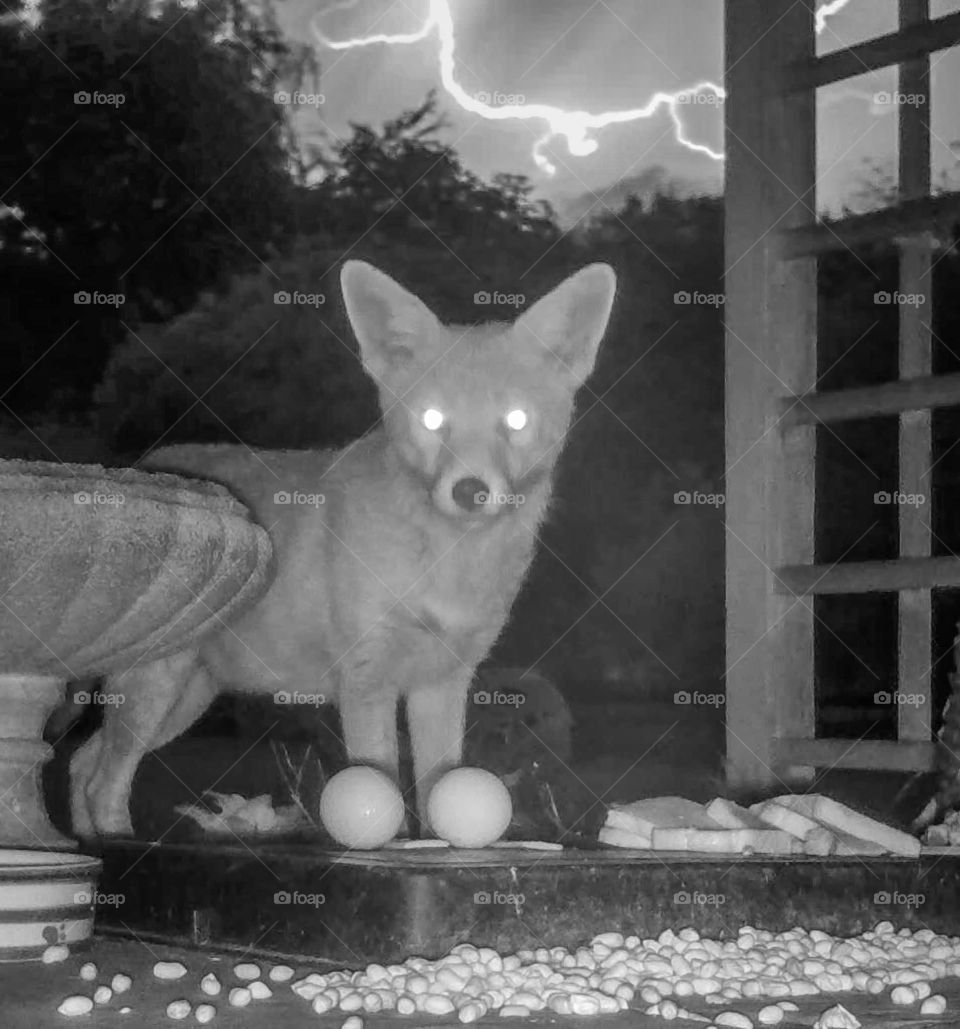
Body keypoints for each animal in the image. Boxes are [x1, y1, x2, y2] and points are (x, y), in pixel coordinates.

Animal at [69, 258, 617, 839]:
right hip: (154, 691)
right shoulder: (366, 681)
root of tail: (139, 466)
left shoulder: (440, 684)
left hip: (183, 701)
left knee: (83, 763)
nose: (471, 491)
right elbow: (382, 792)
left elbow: (437, 791)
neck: (446, 566)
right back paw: (112, 841)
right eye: (432, 419)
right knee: (103, 782)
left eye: (515, 420)